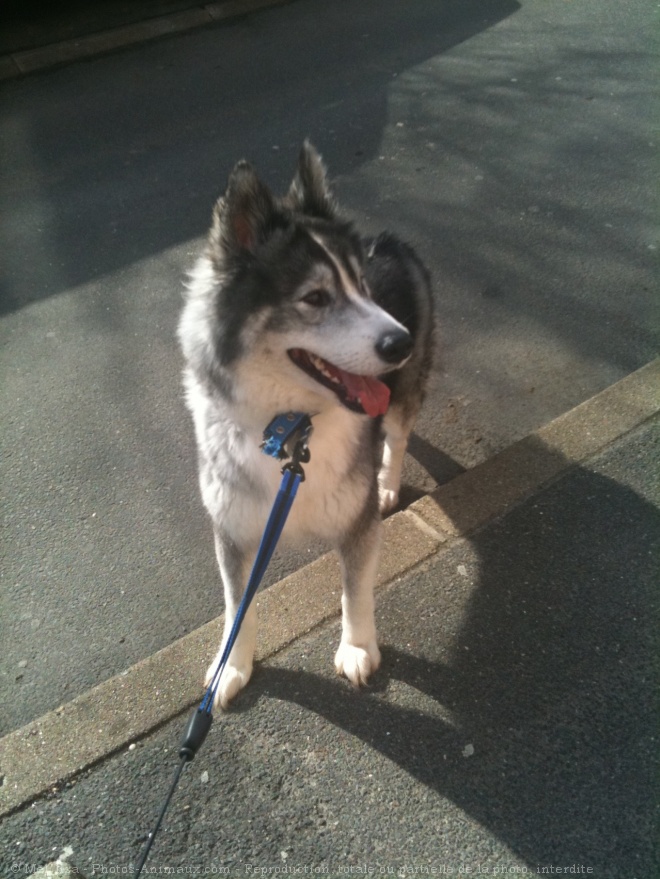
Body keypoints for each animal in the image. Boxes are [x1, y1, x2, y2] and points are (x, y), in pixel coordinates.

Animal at [178, 143, 434, 708]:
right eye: (315, 297)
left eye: (362, 287)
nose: (401, 343)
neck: (293, 427)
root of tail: (388, 241)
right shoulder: (234, 530)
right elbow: (237, 606)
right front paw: (232, 666)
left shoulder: (359, 524)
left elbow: (355, 592)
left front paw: (357, 649)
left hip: (403, 394)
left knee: (399, 434)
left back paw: (389, 481)